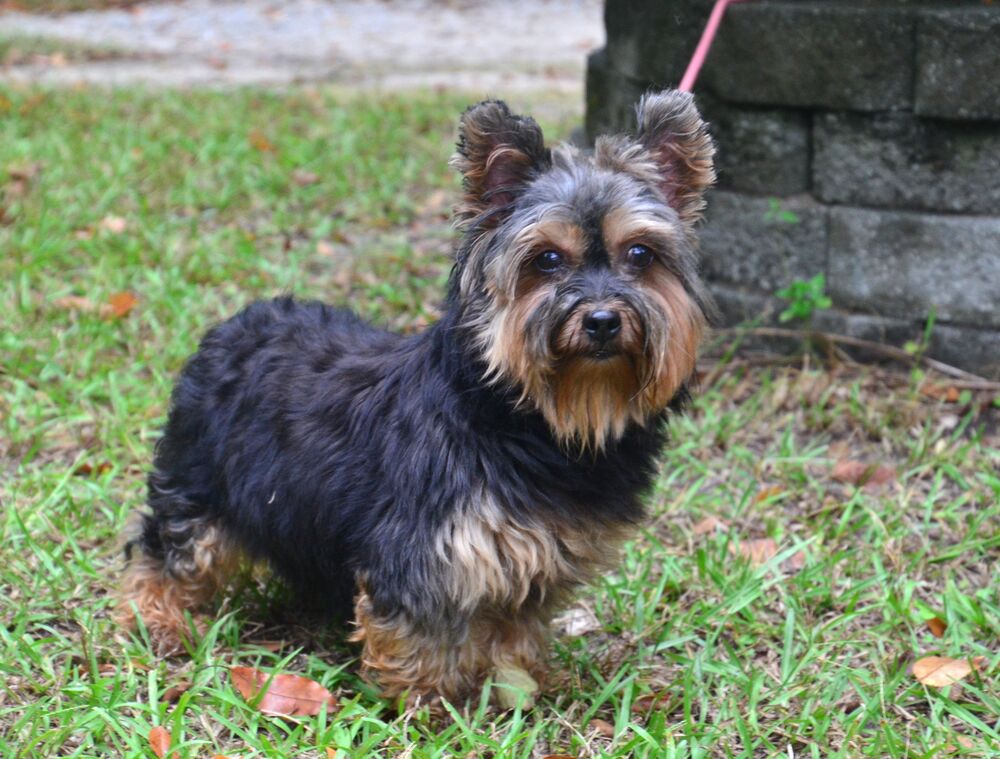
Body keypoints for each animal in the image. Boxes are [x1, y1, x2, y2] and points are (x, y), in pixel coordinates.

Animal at [117, 90, 716, 712]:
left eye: (641, 254)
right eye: (547, 260)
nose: (601, 320)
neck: (527, 421)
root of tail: (233, 326)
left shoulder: (536, 559)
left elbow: (516, 629)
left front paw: (515, 683)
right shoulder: (422, 549)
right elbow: (419, 634)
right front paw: (428, 704)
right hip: (199, 476)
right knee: (172, 551)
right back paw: (159, 619)